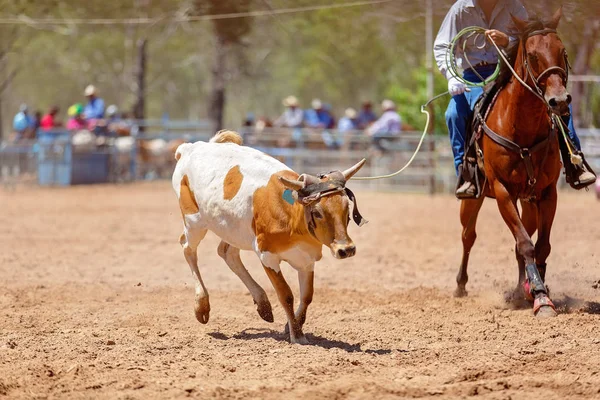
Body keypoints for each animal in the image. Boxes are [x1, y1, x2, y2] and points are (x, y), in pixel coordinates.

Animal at [171, 131, 364, 344]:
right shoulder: (267, 255)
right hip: (194, 221)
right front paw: (297, 335)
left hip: (235, 229)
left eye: (347, 209)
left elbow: (307, 296)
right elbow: (286, 295)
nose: (346, 249)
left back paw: (263, 305)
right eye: (317, 212)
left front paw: (291, 326)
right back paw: (202, 305)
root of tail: (190, 148)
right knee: (188, 249)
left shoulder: (306, 258)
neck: (292, 214)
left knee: (227, 253)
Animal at [454, 9, 572, 318]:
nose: (559, 101)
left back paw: (523, 286)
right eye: (532, 55)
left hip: (528, 202)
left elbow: (540, 245)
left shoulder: (548, 192)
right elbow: (526, 245)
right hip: (473, 199)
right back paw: (461, 285)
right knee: (468, 236)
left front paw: (537, 289)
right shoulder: (503, 191)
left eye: (562, 51)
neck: (523, 127)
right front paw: (540, 297)